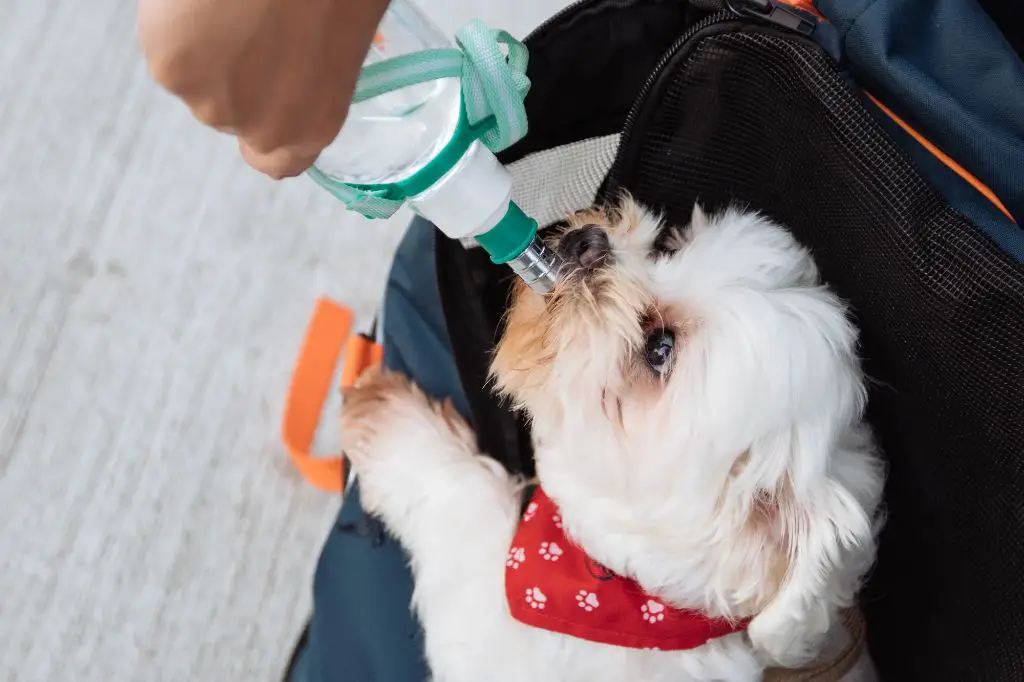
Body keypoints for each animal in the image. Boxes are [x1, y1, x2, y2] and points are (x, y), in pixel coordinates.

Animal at [339, 197, 884, 679]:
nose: (588, 242)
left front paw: (388, 417)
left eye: (659, 348)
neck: (619, 595)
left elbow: (464, 504)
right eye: (668, 246)